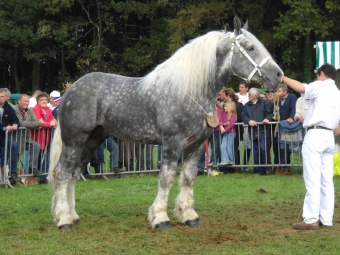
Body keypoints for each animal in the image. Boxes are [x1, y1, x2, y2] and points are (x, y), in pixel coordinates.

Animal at [47, 16, 282, 230]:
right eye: (250, 47)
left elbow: (188, 178)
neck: (188, 92)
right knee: (62, 173)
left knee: (74, 173)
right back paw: (64, 219)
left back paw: (73, 216)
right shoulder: (172, 144)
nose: (279, 75)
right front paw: (160, 218)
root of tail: (71, 90)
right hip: (74, 140)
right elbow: (167, 178)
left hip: (93, 139)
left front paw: (189, 215)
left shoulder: (196, 146)